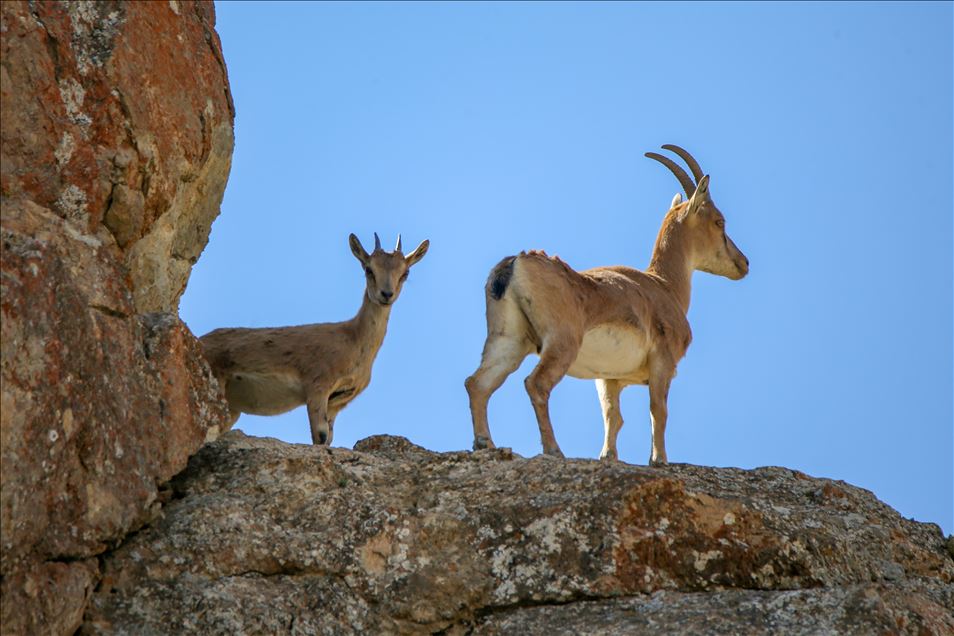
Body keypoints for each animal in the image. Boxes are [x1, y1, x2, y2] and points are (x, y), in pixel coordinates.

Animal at [201, 231, 428, 444]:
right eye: (368, 269)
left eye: (405, 272)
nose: (386, 294)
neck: (353, 341)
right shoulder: (317, 387)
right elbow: (319, 436)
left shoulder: (337, 402)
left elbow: (328, 438)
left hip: (232, 408)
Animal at [464, 149, 748, 468]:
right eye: (719, 222)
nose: (744, 263)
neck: (664, 286)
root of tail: (515, 263)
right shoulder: (661, 362)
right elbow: (658, 411)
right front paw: (659, 460)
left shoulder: (608, 378)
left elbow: (613, 417)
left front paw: (608, 457)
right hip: (561, 344)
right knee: (536, 384)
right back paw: (553, 450)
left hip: (508, 340)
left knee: (478, 383)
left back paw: (484, 443)